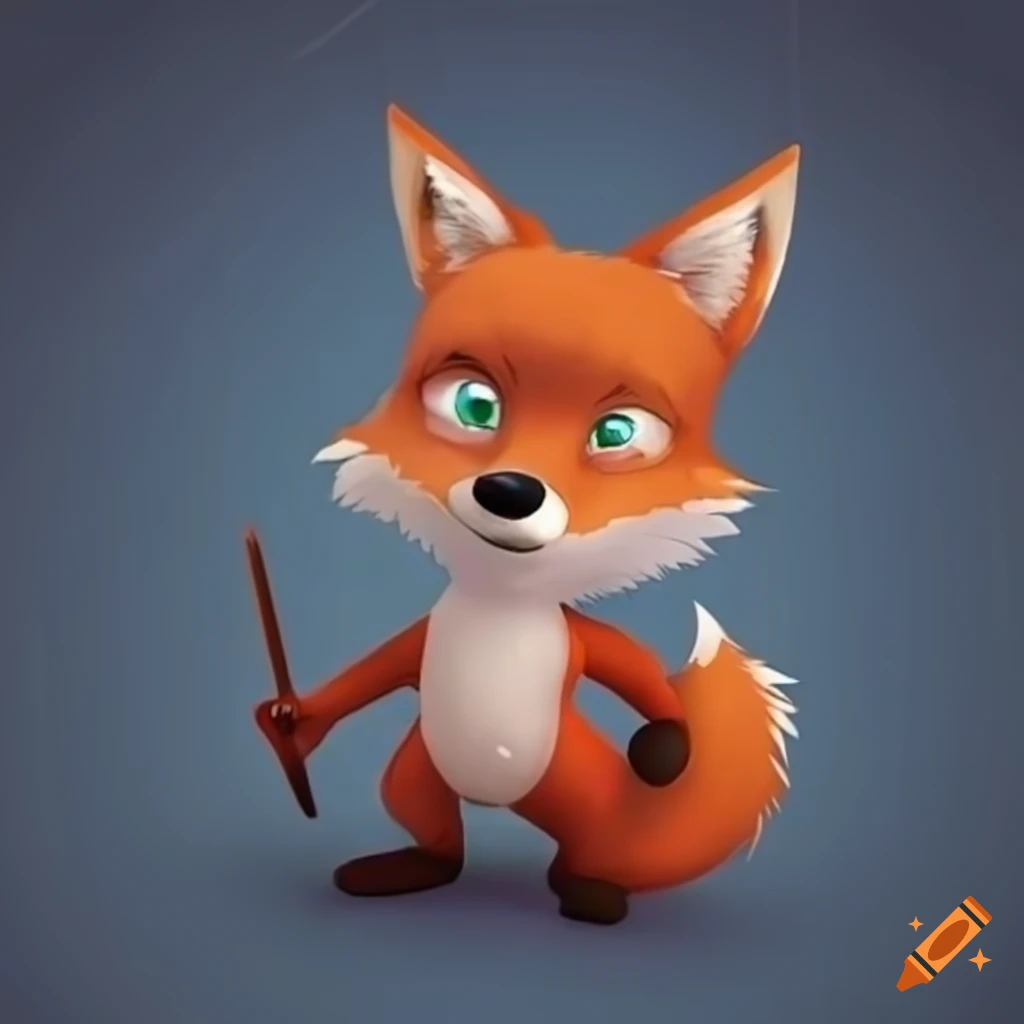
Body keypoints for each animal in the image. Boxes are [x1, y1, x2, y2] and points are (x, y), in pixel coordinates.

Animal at [255, 104, 802, 926]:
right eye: (474, 405)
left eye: (617, 433)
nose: (510, 490)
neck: (501, 607)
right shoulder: (421, 640)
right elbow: (371, 674)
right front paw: (294, 719)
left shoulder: (582, 639)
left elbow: (638, 672)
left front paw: (666, 752)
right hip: (418, 769)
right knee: (436, 836)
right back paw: (407, 868)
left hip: (571, 789)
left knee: (577, 854)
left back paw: (590, 892)